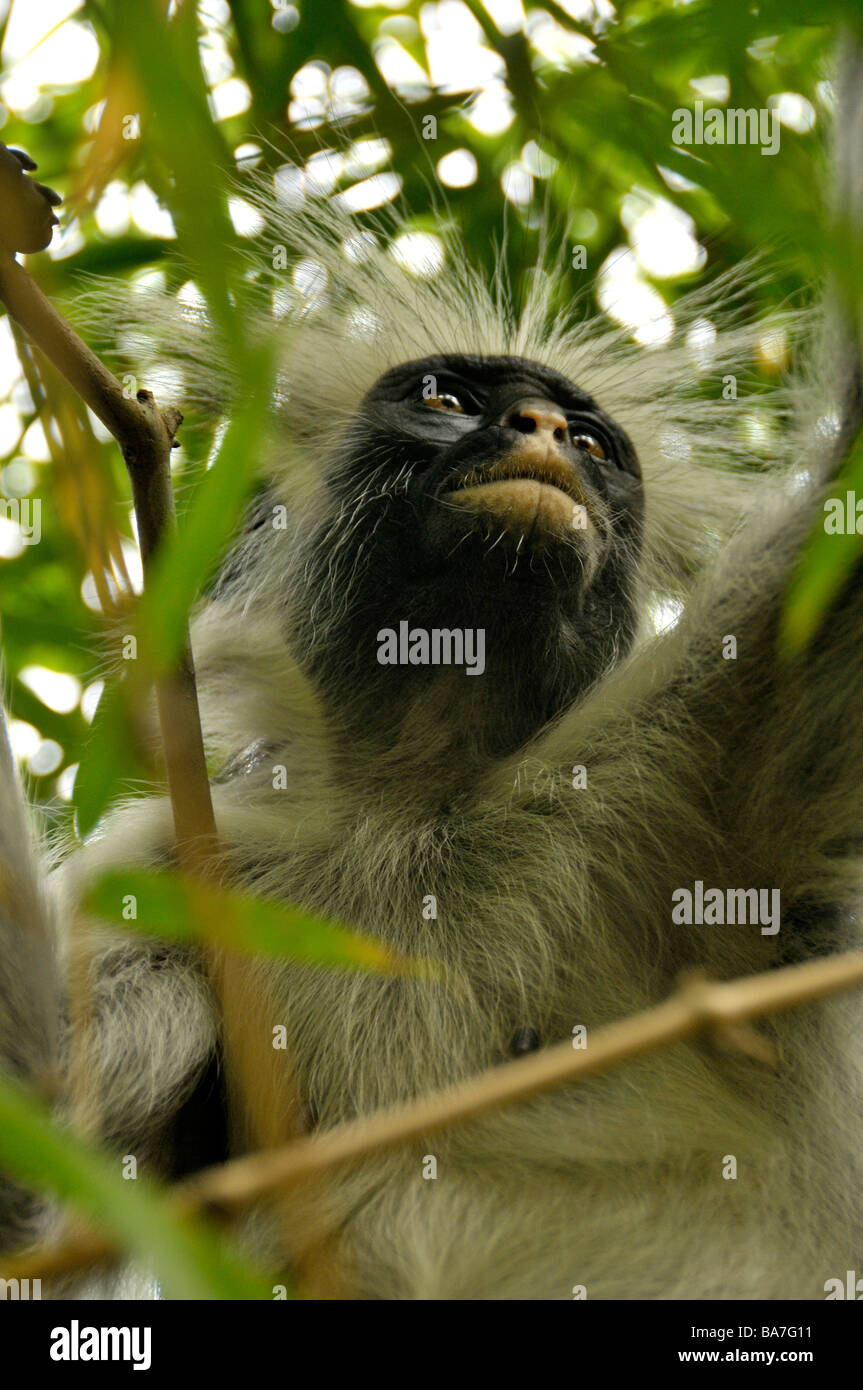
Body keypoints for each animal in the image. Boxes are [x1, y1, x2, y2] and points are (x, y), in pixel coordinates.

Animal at [1, 46, 861, 1301]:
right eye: (445, 400)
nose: (538, 426)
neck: (410, 804)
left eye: (590, 444)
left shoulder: (694, 732)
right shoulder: (175, 860)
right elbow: (29, 1171)